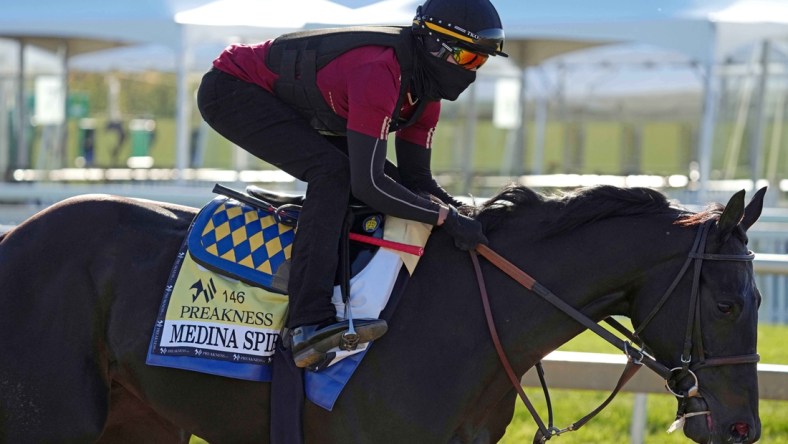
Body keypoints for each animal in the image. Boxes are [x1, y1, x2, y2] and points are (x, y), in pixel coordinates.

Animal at [0, 185, 764, 444]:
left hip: (140, 423)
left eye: (759, 302)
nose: (742, 429)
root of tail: (15, 238)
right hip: (53, 423)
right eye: (728, 303)